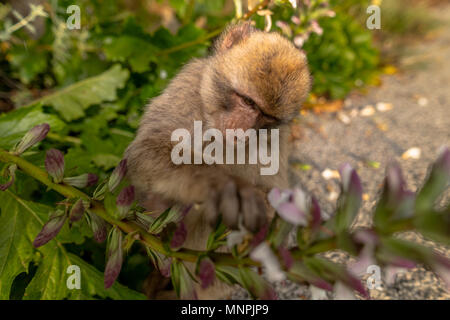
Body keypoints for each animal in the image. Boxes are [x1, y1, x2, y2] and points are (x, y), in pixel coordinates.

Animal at [125, 23, 312, 300]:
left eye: (266, 117)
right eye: (248, 101)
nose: (243, 129)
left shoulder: (278, 137)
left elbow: (271, 196)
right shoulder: (187, 87)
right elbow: (145, 152)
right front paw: (224, 187)